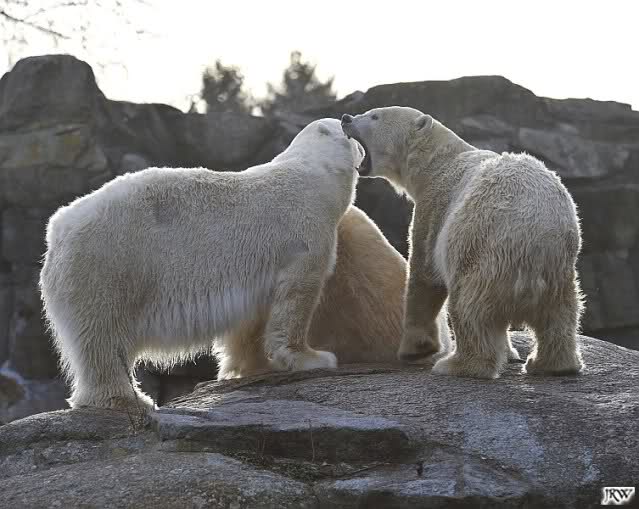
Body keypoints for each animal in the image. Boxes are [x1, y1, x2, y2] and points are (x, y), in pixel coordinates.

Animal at [40, 118, 364, 410]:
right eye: (349, 131)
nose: (360, 142)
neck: (314, 174)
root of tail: (58, 230)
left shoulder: (256, 268)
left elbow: (251, 316)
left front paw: (249, 366)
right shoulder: (304, 234)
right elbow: (298, 298)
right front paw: (314, 358)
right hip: (110, 263)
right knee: (102, 335)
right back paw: (126, 398)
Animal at [341, 106, 584, 379]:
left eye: (374, 116)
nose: (346, 118)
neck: (439, 159)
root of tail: (536, 241)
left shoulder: (435, 204)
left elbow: (424, 276)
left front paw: (414, 350)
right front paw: (510, 353)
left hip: (481, 252)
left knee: (468, 309)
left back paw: (456, 365)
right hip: (558, 272)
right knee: (562, 315)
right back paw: (550, 364)